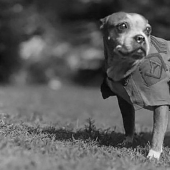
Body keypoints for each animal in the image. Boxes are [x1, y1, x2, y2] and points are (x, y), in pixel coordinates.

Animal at [99, 11, 170, 159]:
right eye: (123, 26)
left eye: (148, 30)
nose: (140, 37)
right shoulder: (124, 102)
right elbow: (128, 122)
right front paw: (127, 141)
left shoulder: (161, 102)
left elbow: (157, 130)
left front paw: (154, 153)